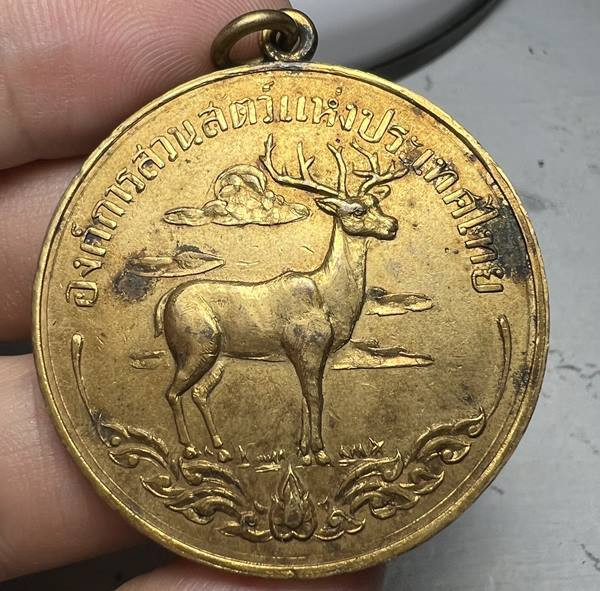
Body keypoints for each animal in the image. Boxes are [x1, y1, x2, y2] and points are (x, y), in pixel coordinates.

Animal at [154, 133, 409, 465]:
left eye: (375, 203)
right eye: (356, 211)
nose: (392, 225)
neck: (329, 298)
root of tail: (164, 302)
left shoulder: (313, 354)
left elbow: (303, 399)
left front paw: (303, 451)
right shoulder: (306, 346)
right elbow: (316, 398)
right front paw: (320, 451)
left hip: (221, 355)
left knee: (199, 393)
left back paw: (221, 448)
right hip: (196, 344)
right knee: (172, 392)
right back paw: (189, 448)